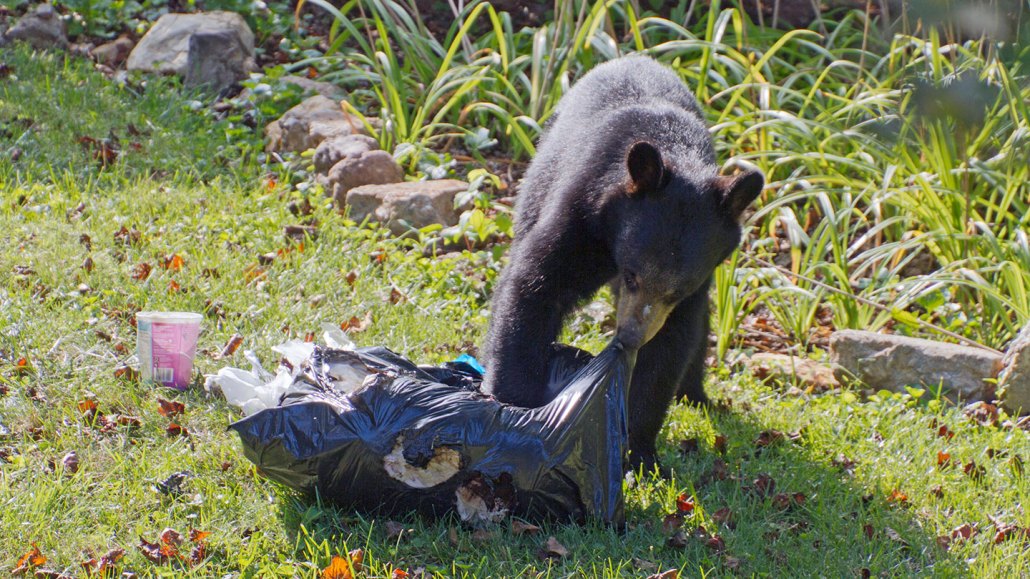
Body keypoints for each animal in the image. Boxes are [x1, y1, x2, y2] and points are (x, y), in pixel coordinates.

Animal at [482, 55, 764, 473]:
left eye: (676, 291)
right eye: (632, 276)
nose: (630, 337)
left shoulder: (697, 283)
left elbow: (671, 344)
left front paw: (640, 452)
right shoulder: (582, 213)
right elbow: (536, 285)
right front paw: (513, 406)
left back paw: (697, 395)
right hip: (538, 180)